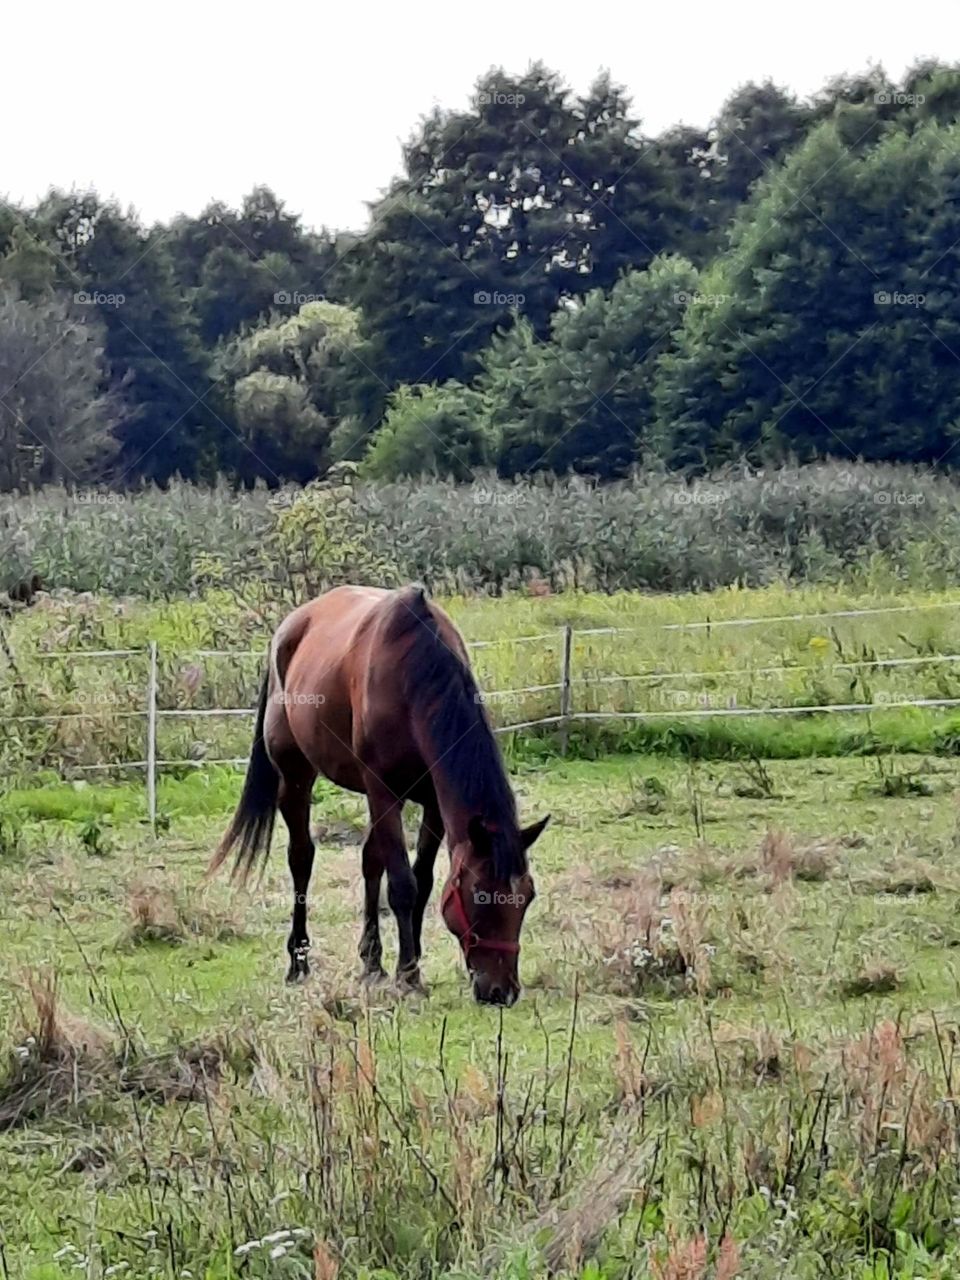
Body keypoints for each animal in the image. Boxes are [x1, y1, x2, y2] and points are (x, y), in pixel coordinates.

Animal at [213, 586, 552, 1003]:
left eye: (527, 896)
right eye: (481, 895)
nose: (502, 991)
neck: (414, 677)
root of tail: (289, 628)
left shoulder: (434, 805)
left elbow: (421, 881)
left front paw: (410, 959)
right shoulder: (384, 792)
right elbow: (403, 884)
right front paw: (408, 976)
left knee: (370, 861)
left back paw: (371, 962)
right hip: (295, 777)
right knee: (302, 858)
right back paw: (299, 961)